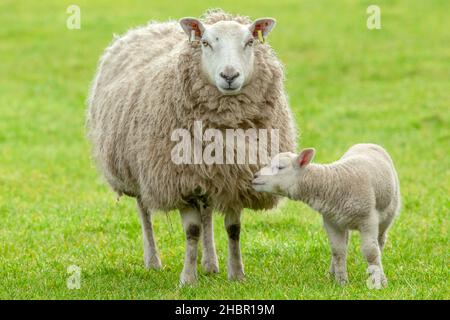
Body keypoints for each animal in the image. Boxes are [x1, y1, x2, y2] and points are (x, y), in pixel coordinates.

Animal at [86, 9, 298, 284]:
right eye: (206, 43)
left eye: (249, 42)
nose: (229, 76)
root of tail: (151, 26)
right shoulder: (179, 180)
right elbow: (192, 231)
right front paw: (188, 278)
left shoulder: (236, 178)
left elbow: (233, 229)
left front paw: (237, 274)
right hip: (136, 170)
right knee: (144, 211)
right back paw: (153, 261)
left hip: (205, 175)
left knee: (206, 213)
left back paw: (210, 263)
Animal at [251, 144, 402, 288]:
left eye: (280, 167)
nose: (255, 176)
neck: (333, 183)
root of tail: (368, 143)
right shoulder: (331, 222)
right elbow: (338, 251)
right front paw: (341, 282)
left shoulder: (368, 219)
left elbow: (371, 252)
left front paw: (380, 282)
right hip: (342, 220)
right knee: (345, 245)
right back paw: (331, 273)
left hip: (388, 214)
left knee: (380, 241)